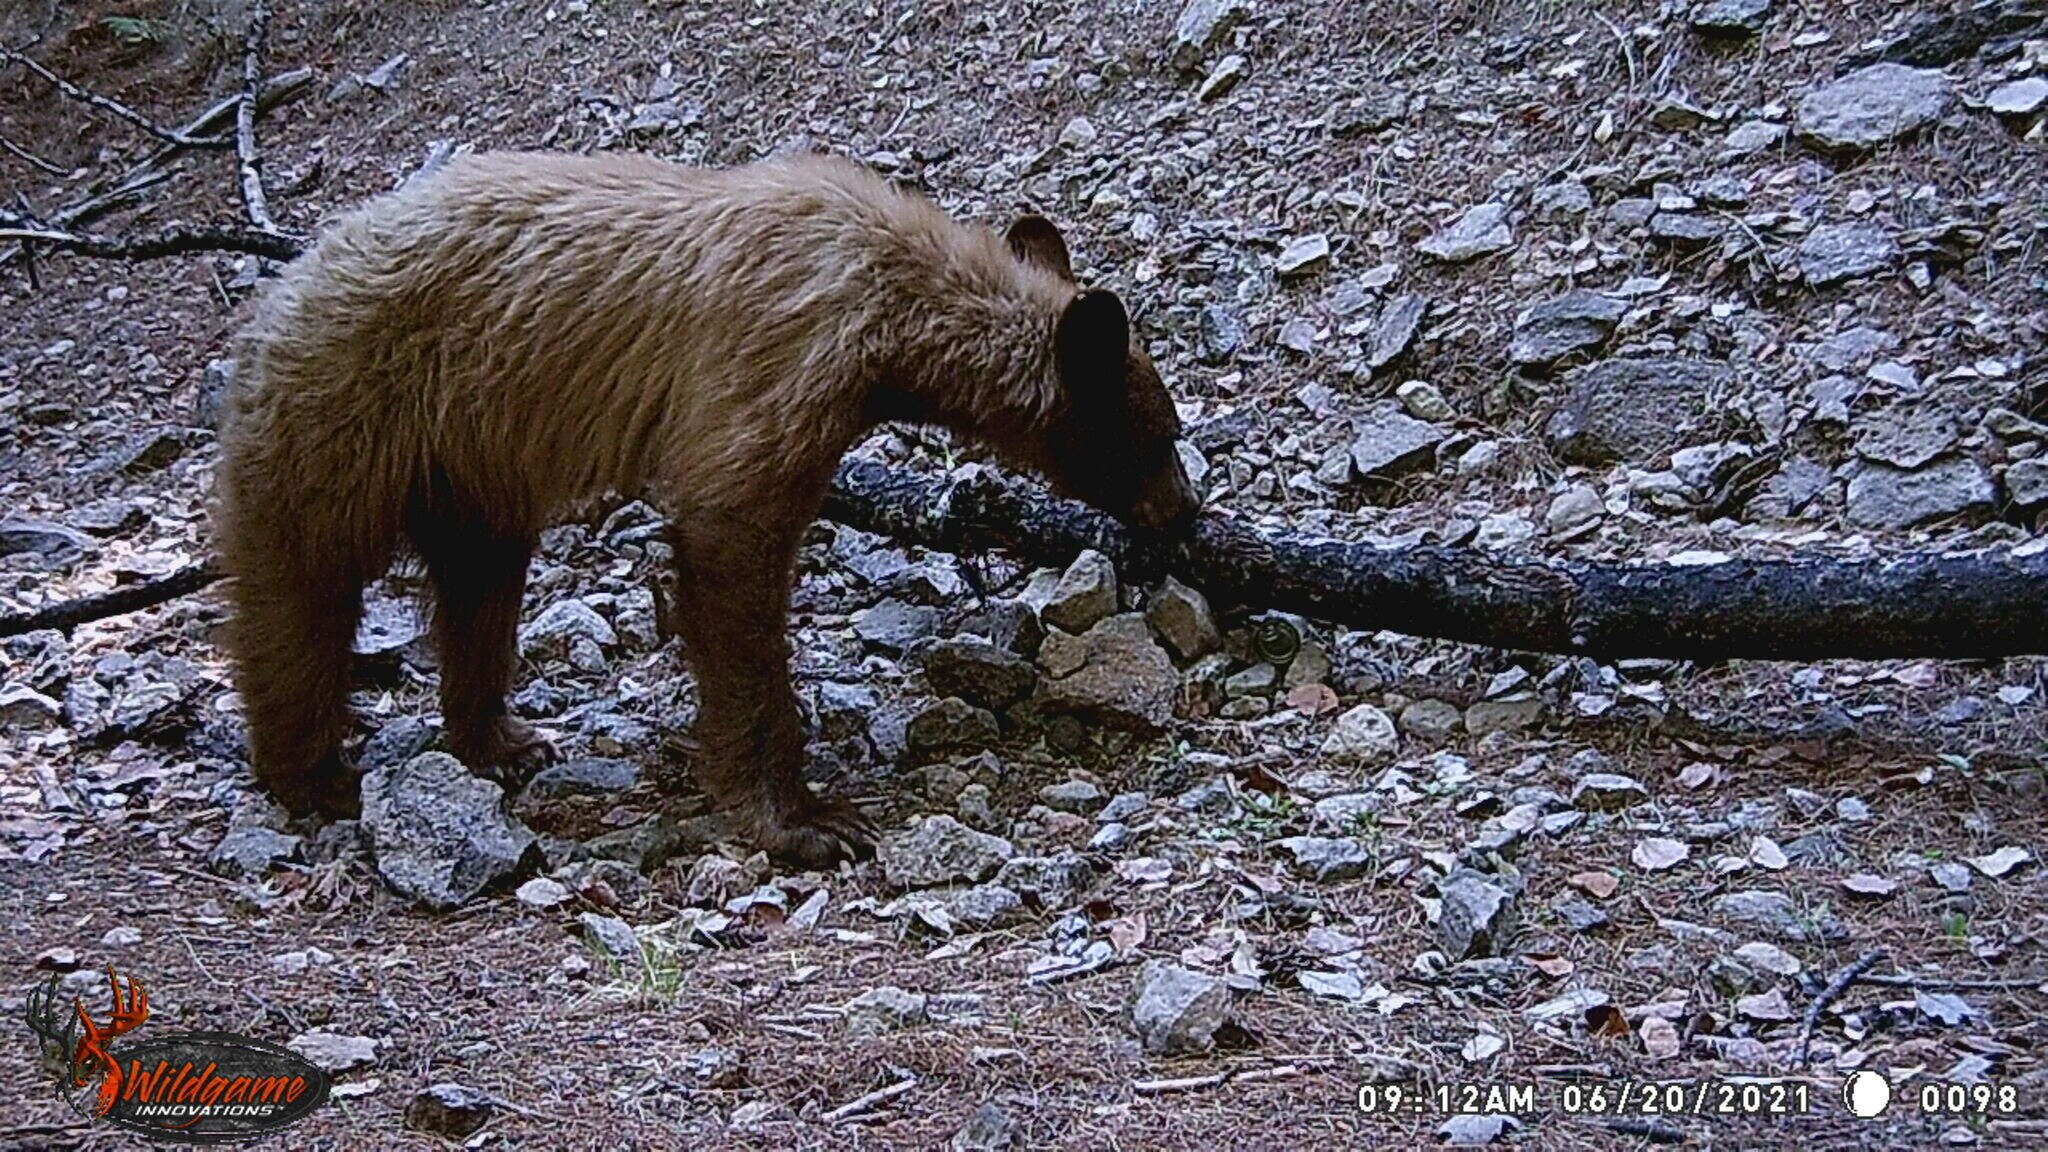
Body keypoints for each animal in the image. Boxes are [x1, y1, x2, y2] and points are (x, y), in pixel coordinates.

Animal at [211, 150, 1196, 860]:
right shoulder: (782, 351)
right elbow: (731, 539)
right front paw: (804, 819)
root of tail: (271, 301)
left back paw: (502, 738)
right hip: (345, 412)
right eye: (1162, 437)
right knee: (304, 586)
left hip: (467, 461)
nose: (1184, 516)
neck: (894, 297)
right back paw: (314, 772)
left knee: (481, 583)